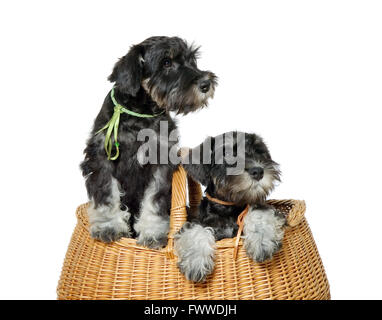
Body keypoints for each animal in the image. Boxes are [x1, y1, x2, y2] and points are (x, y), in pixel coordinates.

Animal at [80, 37, 218, 248]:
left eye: (192, 60)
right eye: (166, 62)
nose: (206, 83)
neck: (141, 111)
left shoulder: (161, 164)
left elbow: (155, 200)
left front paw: (153, 234)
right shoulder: (101, 158)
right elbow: (106, 194)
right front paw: (108, 227)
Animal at [175, 131, 286, 282]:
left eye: (258, 151)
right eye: (227, 153)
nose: (258, 171)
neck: (228, 208)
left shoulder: (261, 207)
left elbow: (258, 212)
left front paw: (262, 242)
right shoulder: (195, 222)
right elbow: (196, 230)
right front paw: (196, 261)